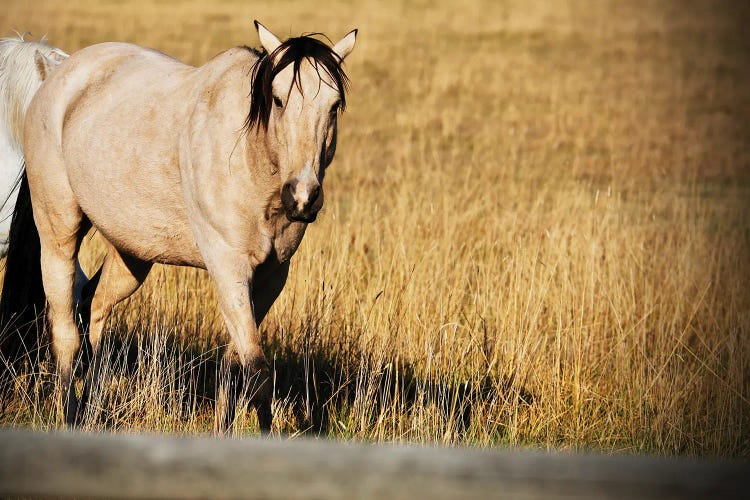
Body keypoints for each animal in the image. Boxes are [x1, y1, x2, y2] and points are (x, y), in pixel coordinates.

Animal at [0, 21, 358, 432]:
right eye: (279, 100)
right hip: (58, 235)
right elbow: (257, 372)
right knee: (65, 333)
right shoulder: (228, 269)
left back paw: (91, 411)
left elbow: (235, 366)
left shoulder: (271, 276)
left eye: (334, 105)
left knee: (94, 306)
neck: (247, 158)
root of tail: (55, 76)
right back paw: (73, 418)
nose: (302, 196)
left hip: (132, 254)